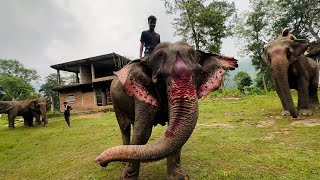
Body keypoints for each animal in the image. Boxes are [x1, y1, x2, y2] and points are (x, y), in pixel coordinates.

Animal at [95, 41, 238, 179]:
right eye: (159, 78)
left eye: (199, 73)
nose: (100, 161)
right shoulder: (142, 94)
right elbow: (142, 133)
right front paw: (127, 176)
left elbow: (172, 130)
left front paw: (178, 177)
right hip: (116, 103)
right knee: (125, 128)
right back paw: (124, 161)